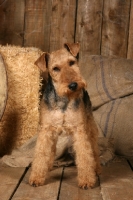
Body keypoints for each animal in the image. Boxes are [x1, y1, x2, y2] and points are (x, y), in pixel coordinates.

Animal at [28, 42, 100, 189]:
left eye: (71, 62)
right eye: (55, 68)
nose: (73, 85)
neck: (63, 101)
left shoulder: (79, 130)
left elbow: (85, 155)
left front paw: (86, 180)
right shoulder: (46, 130)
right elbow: (41, 153)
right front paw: (37, 178)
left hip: (90, 126)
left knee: (94, 149)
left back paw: (97, 169)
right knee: (52, 150)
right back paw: (48, 166)